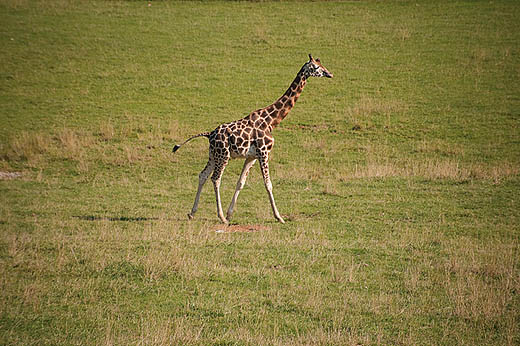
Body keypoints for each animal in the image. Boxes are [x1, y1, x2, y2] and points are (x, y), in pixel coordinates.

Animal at [173, 52, 332, 223]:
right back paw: (220, 216)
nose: (330, 74)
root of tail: (209, 134)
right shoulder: (264, 152)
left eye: (322, 65)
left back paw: (192, 212)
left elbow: (241, 182)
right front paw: (279, 217)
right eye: (316, 67)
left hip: (213, 155)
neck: (271, 121)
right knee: (215, 179)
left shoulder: (252, 156)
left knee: (202, 175)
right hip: (223, 156)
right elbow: (268, 183)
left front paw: (230, 213)